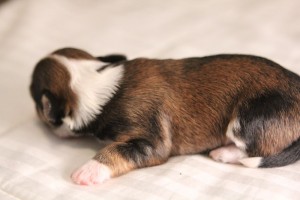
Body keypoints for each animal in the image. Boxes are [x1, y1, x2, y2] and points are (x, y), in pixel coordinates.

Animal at [29, 47, 300, 185]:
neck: (97, 81)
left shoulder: (149, 139)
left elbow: (118, 150)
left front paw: (87, 171)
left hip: (248, 119)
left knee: (258, 149)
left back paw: (223, 152)